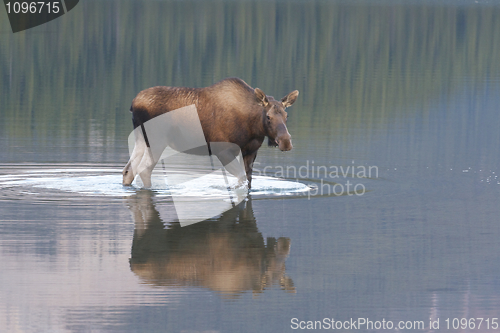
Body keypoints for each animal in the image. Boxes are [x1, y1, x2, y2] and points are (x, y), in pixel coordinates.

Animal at [122, 76, 298, 188]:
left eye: (287, 115)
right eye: (268, 117)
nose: (286, 141)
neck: (253, 127)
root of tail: (132, 104)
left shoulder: (250, 151)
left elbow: (248, 180)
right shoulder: (223, 150)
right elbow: (241, 179)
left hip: (141, 139)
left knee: (128, 170)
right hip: (156, 141)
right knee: (143, 169)